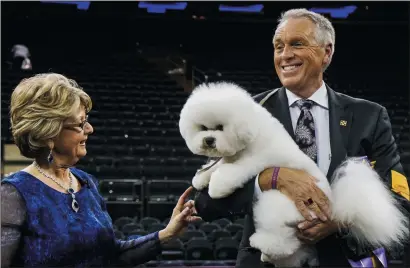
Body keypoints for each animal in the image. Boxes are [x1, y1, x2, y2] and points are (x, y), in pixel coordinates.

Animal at [180, 82, 410, 266]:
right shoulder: (230, 157)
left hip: (277, 203)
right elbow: (217, 165)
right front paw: (201, 178)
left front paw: (217, 186)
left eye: (220, 127)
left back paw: (264, 245)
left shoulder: (256, 159)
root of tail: (335, 207)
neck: (251, 130)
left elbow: (233, 171)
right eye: (203, 128)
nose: (209, 140)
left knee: (284, 241)